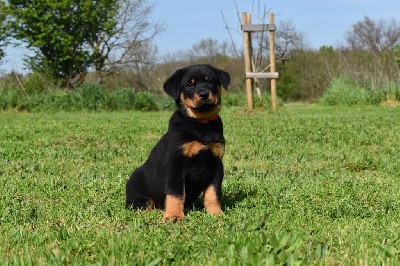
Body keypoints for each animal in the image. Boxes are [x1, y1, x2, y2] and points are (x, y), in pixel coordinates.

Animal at [125, 63, 231, 221]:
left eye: (210, 81)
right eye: (189, 85)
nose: (204, 94)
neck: (201, 123)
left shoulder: (216, 164)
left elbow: (213, 192)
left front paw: (216, 213)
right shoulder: (176, 164)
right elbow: (175, 193)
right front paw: (174, 216)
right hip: (138, 194)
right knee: (143, 206)